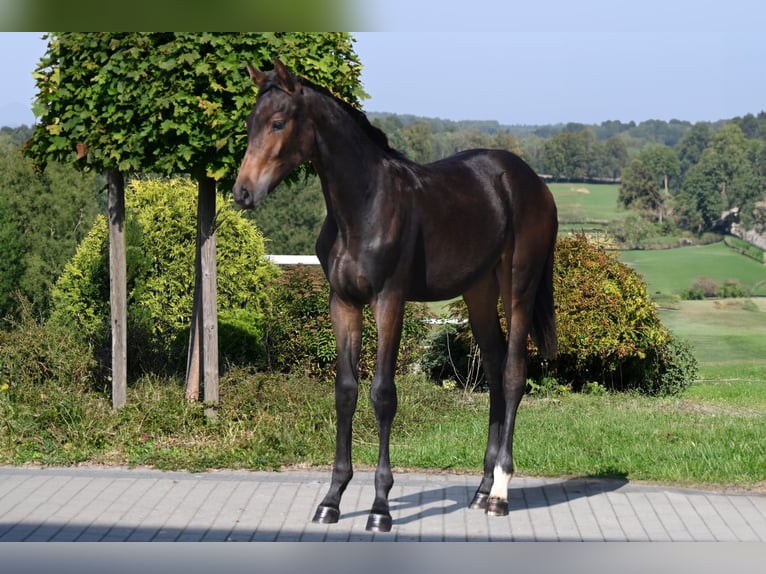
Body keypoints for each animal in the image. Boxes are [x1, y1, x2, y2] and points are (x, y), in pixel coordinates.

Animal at [232, 59, 560, 536]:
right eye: (249, 124)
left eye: (278, 122)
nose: (242, 192)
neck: (362, 207)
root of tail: (534, 183)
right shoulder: (343, 302)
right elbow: (346, 391)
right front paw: (331, 499)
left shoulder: (389, 301)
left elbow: (383, 395)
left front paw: (380, 507)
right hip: (479, 291)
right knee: (496, 368)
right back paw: (481, 491)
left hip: (518, 284)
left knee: (514, 373)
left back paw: (500, 493)